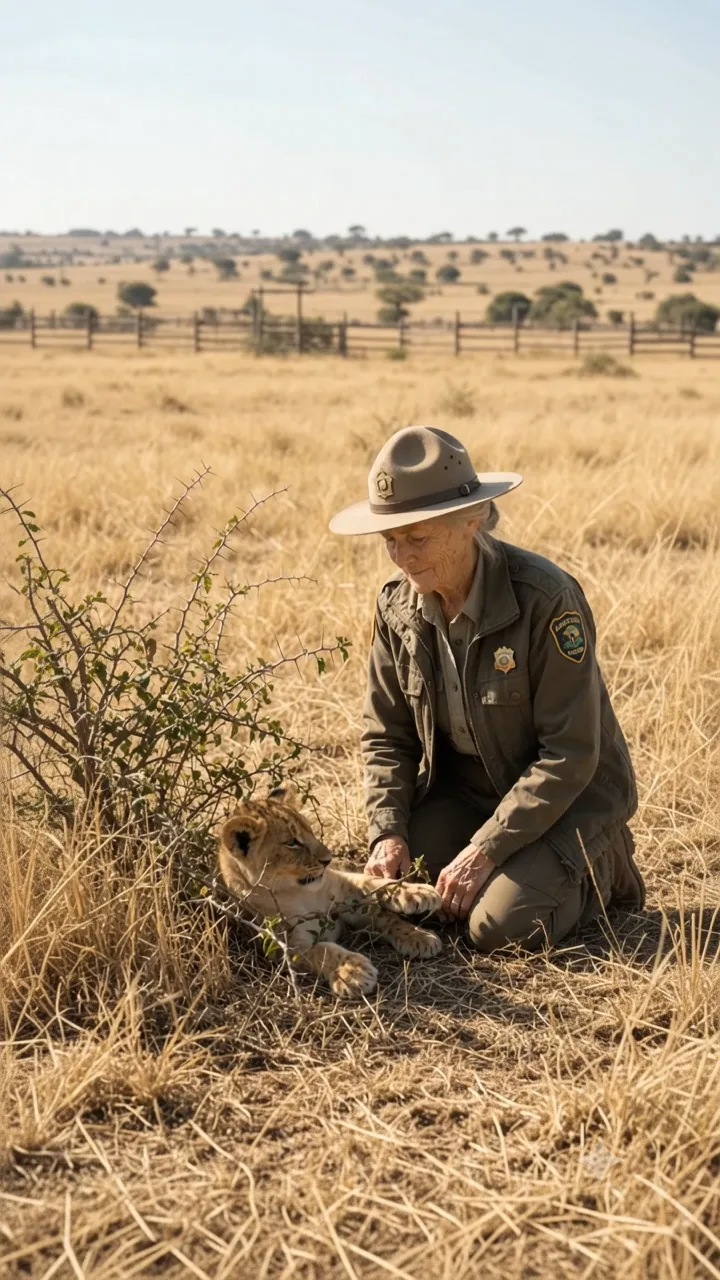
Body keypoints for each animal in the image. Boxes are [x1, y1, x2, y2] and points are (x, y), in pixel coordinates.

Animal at [218, 785, 442, 997]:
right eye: (292, 842)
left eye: (310, 831)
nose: (328, 859)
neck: (300, 893)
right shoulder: (284, 945)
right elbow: (324, 951)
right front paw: (353, 971)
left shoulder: (344, 890)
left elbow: (377, 893)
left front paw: (420, 921)